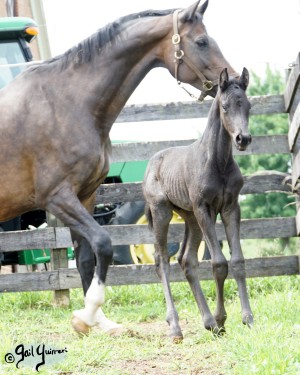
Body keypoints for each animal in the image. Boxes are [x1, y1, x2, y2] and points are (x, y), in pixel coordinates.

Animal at [143, 67, 253, 340]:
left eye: (248, 105)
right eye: (224, 106)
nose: (243, 139)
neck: (218, 162)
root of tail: (152, 163)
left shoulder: (230, 208)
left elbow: (237, 261)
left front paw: (247, 319)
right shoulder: (205, 209)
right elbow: (219, 263)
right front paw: (222, 319)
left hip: (190, 217)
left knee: (187, 260)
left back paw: (207, 322)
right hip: (162, 212)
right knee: (162, 260)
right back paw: (176, 326)